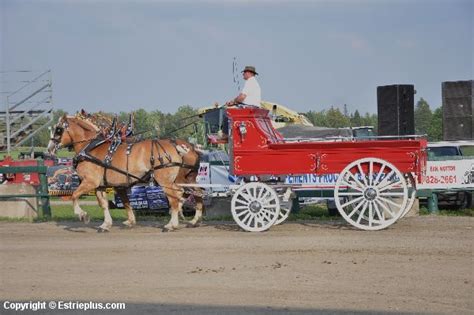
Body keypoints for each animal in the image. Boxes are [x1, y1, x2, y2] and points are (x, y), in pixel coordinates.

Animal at [47, 115, 202, 232]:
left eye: (58, 130)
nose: (49, 149)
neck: (91, 148)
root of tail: (178, 147)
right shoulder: (102, 186)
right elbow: (107, 204)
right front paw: (107, 224)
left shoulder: (90, 182)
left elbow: (74, 195)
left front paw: (83, 215)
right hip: (186, 178)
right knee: (196, 193)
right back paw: (194, 220)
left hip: (165, 180)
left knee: (176, 197)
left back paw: (171, 225)